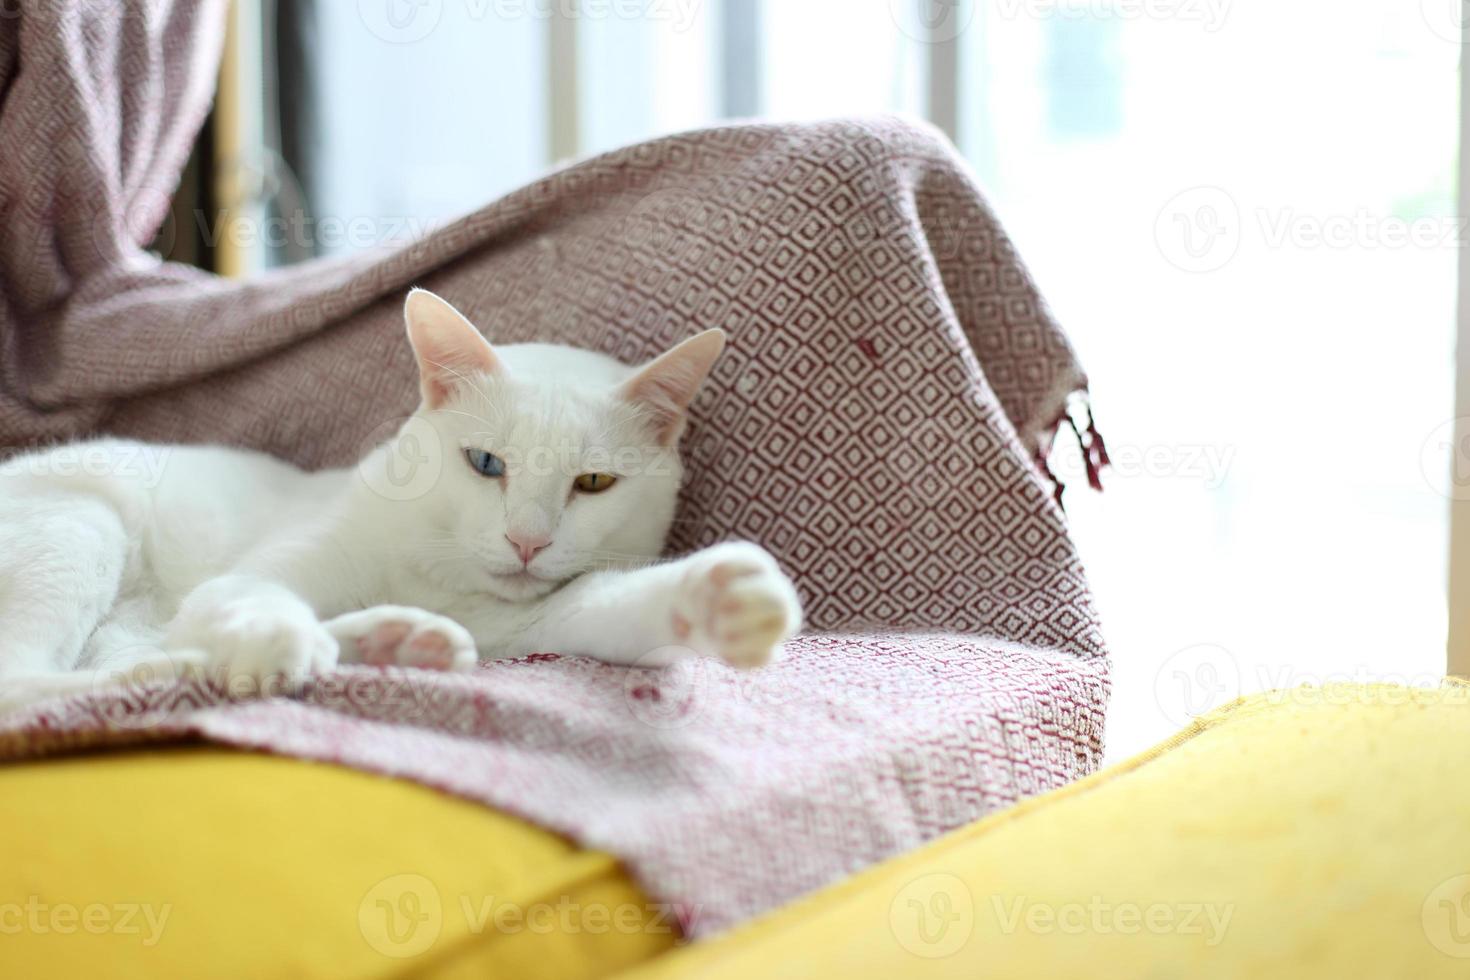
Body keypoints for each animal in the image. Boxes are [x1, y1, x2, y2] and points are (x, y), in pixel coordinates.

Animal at [0, 290, 805, 714]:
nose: (527, 542)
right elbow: (252, 598)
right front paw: (274, 638)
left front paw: (719, 600)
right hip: (78, 526)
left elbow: (617, 605)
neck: (436, 574)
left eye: (594, 484)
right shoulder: (259, 571)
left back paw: (395, 640)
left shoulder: (541, 618)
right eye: (486, 463)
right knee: (26, 685)